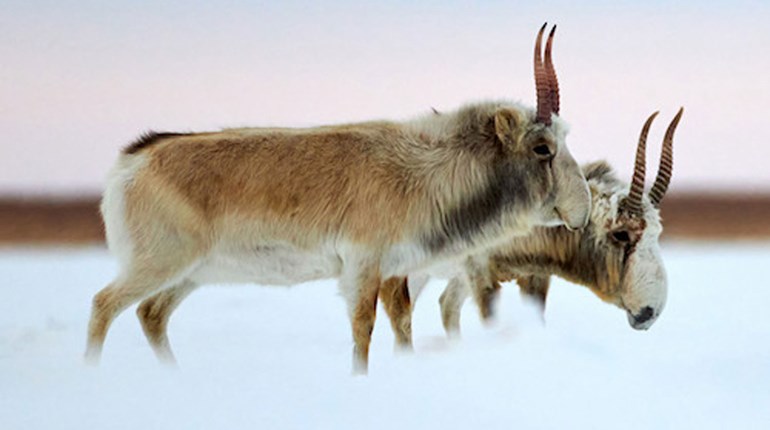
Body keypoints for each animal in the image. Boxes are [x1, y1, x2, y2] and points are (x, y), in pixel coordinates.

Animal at [85, 24, 591, 373]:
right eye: (542, 147)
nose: (582, 210)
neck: (423, 168)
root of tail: (133, 162)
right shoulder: (363, 266)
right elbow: (363, 329)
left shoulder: (395, 271)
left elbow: (402, 323)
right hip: (160, 263)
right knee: (104, 304)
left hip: (191, 273)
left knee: (150, 313)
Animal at [381, 109, 682, 344]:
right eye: (621, 234)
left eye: (656, 233)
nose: (649, 312)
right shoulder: (480, 273)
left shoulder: (534, 276)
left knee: (445, 306)